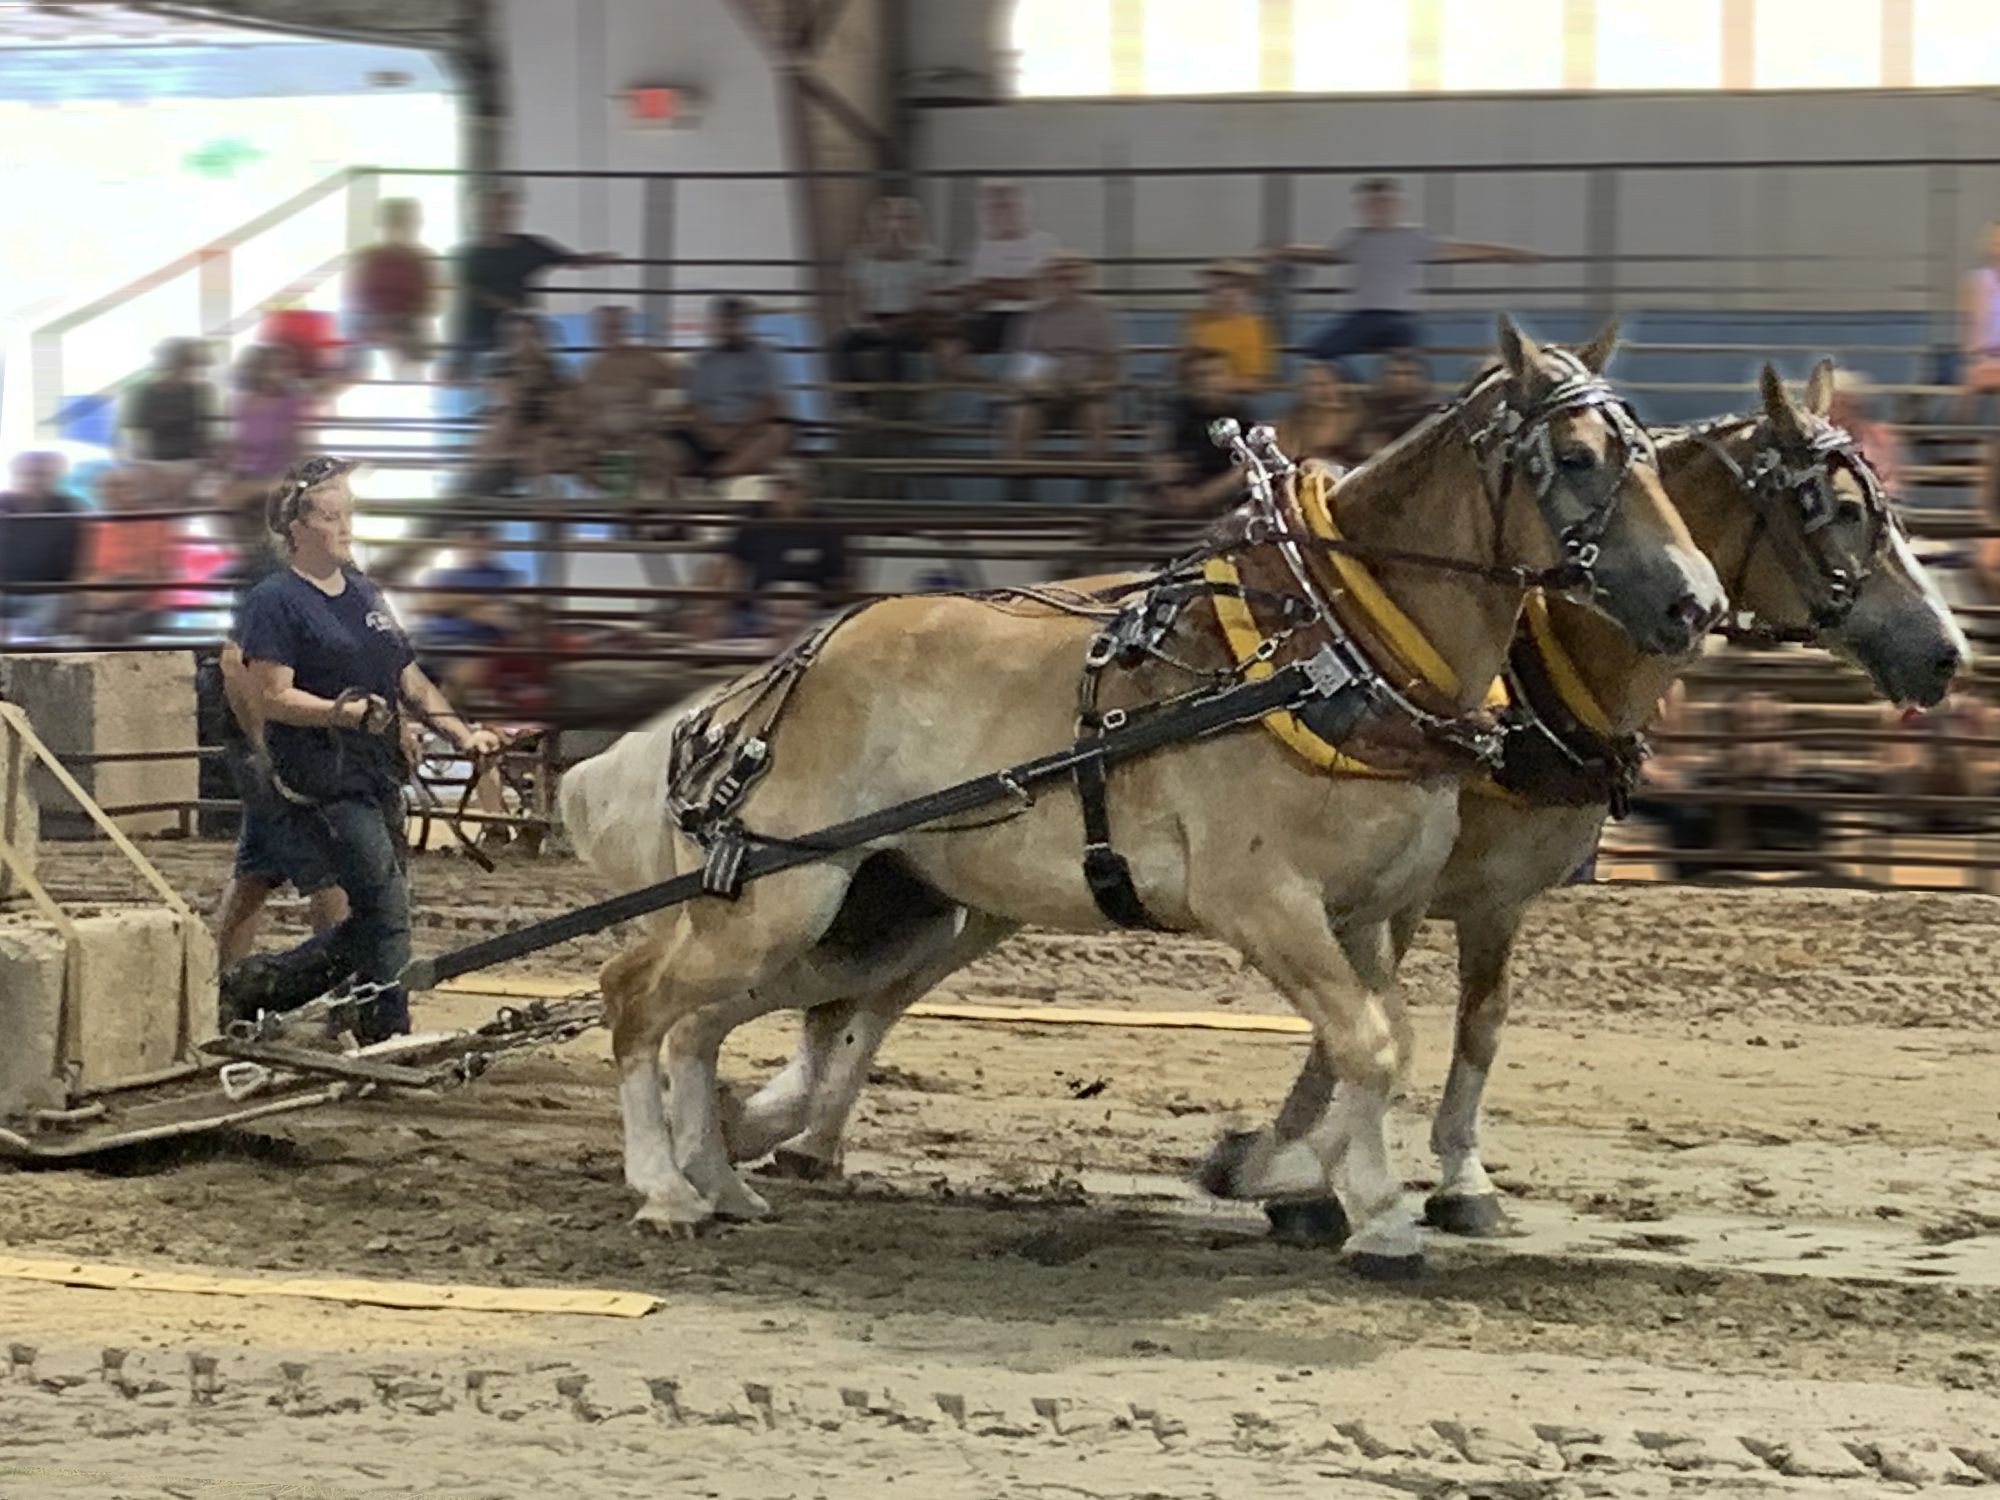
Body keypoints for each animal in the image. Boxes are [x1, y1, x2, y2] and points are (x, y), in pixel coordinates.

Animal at [556, 324, 1728, 1272]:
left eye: (1652, 457)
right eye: (1574, 460)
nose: (1697, 603)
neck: (1327, 652)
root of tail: (765, 683)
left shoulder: (1367, 915)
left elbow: (1378, 1039)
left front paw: (1339, 1192)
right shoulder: (1265, 906)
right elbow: (1366, 1044)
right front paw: (1359, 1209)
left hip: (857, 914)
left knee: (702, 1024)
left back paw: (722, 1180)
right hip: (781, 898)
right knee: (634, 998)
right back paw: (666, 1190)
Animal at [1224, 362, 1960, 1248]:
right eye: (1846, 510)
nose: (1949, 652)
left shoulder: (1498, 897)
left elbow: (1479, 1022)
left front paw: (1458, 1177)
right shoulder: (1383, 892)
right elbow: (1357, 1023)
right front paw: (1291, 1176)